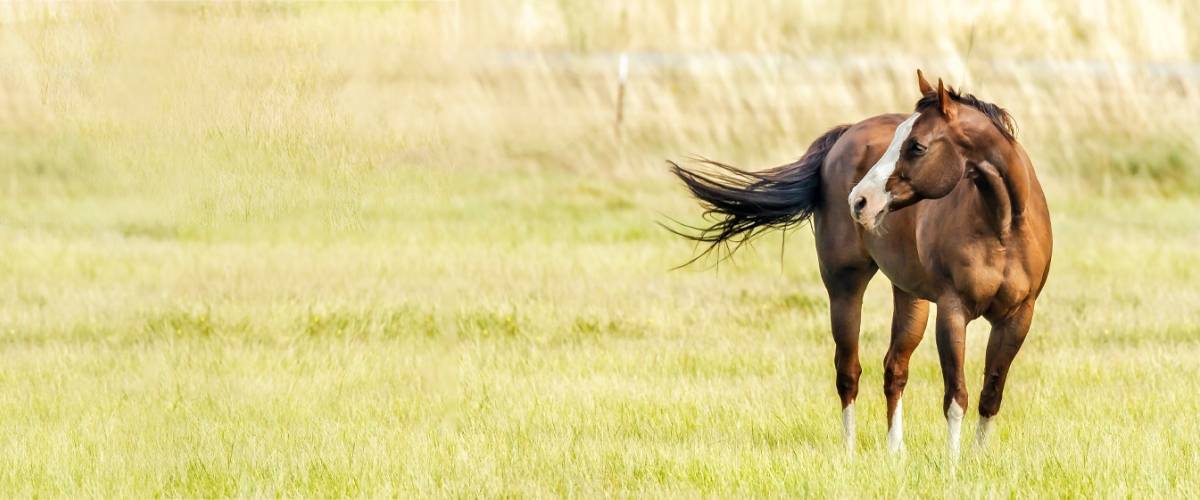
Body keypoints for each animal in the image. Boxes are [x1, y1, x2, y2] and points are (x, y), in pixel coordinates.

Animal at [672, 70, 1056, 455]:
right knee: (848, 371)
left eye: (916, 146)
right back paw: (850, 452)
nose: (860, 200)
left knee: (895, 368)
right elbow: (955, 396)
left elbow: (990, 394)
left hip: (909, 295)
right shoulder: (952, 311)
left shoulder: (1018, 316)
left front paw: (976, 459)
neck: (1001, 225)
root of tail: (844, 136)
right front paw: (953, 463)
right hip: (844, 286)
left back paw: (895, 453)